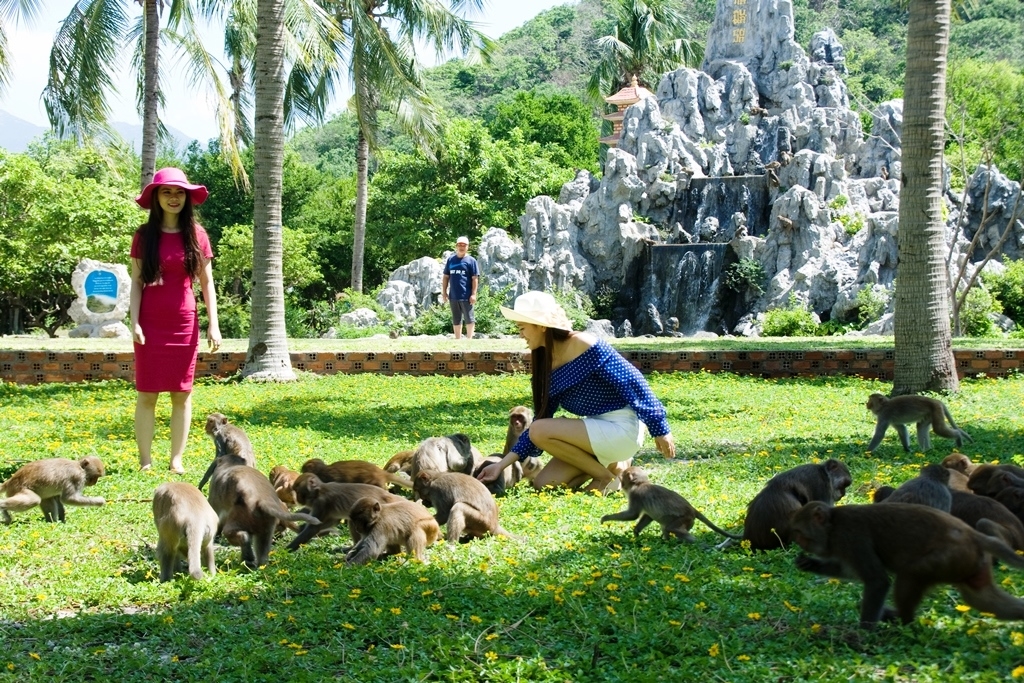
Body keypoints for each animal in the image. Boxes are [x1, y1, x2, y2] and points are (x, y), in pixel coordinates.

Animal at [598, 466, 737, 540]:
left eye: (622, 478)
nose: (620, 483)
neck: (640, 484)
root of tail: (692, 509)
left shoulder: (636, 495)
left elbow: (633, 515)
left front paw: (606, 518)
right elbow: (647, 516)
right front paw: (636, 531)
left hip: (684, 519)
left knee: (672, 528)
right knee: (666, 527)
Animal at [790, 499, 1024, 626]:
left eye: (800, 532)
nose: (797, 541)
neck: (833, 526)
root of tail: (973, 535)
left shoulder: (850, 536)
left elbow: (877, 581)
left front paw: (863, 633)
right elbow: (848, 571)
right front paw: (811, 564)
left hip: (950, 556)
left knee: (910, 575)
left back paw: (902, 619)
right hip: (969, 563)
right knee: (983, 599)